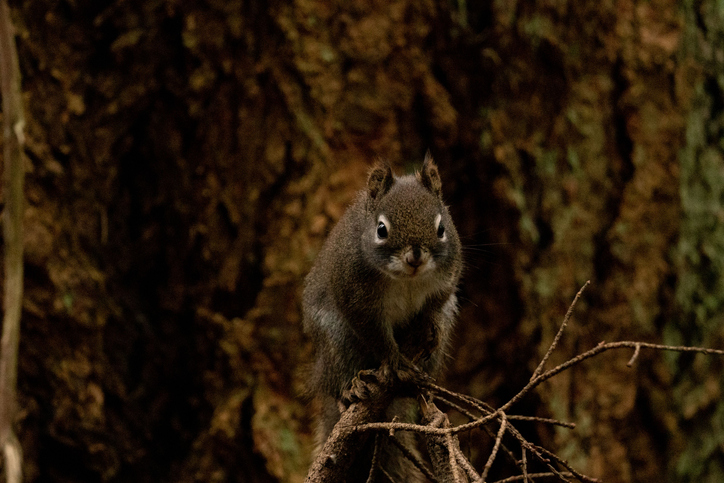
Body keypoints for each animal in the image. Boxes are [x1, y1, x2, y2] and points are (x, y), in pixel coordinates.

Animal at [302, 151, 460, 480]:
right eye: (381, 229)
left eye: (441, 228)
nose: (415, 257)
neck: (408, 280)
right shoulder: (357, 298)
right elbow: (374, 332)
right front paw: (395, 360)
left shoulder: (447, 281)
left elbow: (435, 306)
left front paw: (429, 325)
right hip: (337, 341)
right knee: (337, 377)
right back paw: (351, 388)